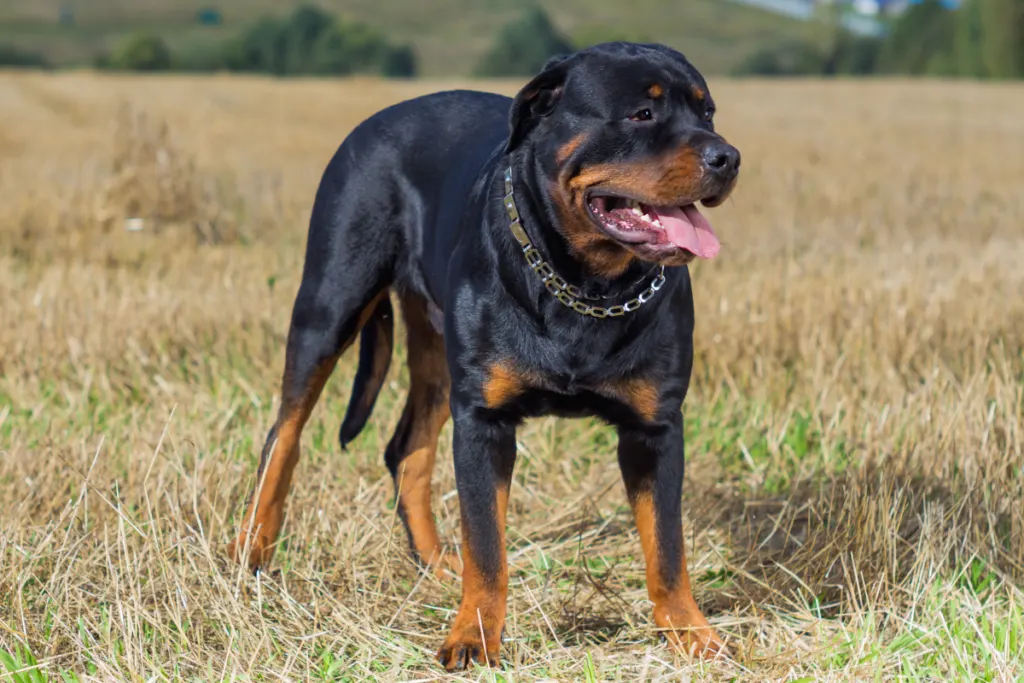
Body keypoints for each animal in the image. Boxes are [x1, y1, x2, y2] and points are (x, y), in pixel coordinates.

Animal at [228, 40, 741, 671]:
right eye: (642, 114)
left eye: (707, 113)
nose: (727, 156)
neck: (585, 285)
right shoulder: (483, 420)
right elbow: (488, 545)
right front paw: (473, 637)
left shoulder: (655, 427)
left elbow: (667, 547)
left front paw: (691, 633)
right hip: (329, 304)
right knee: (285, 434)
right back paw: (252, 550)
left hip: (433, 354)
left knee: (407, 449)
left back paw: (432, 561)